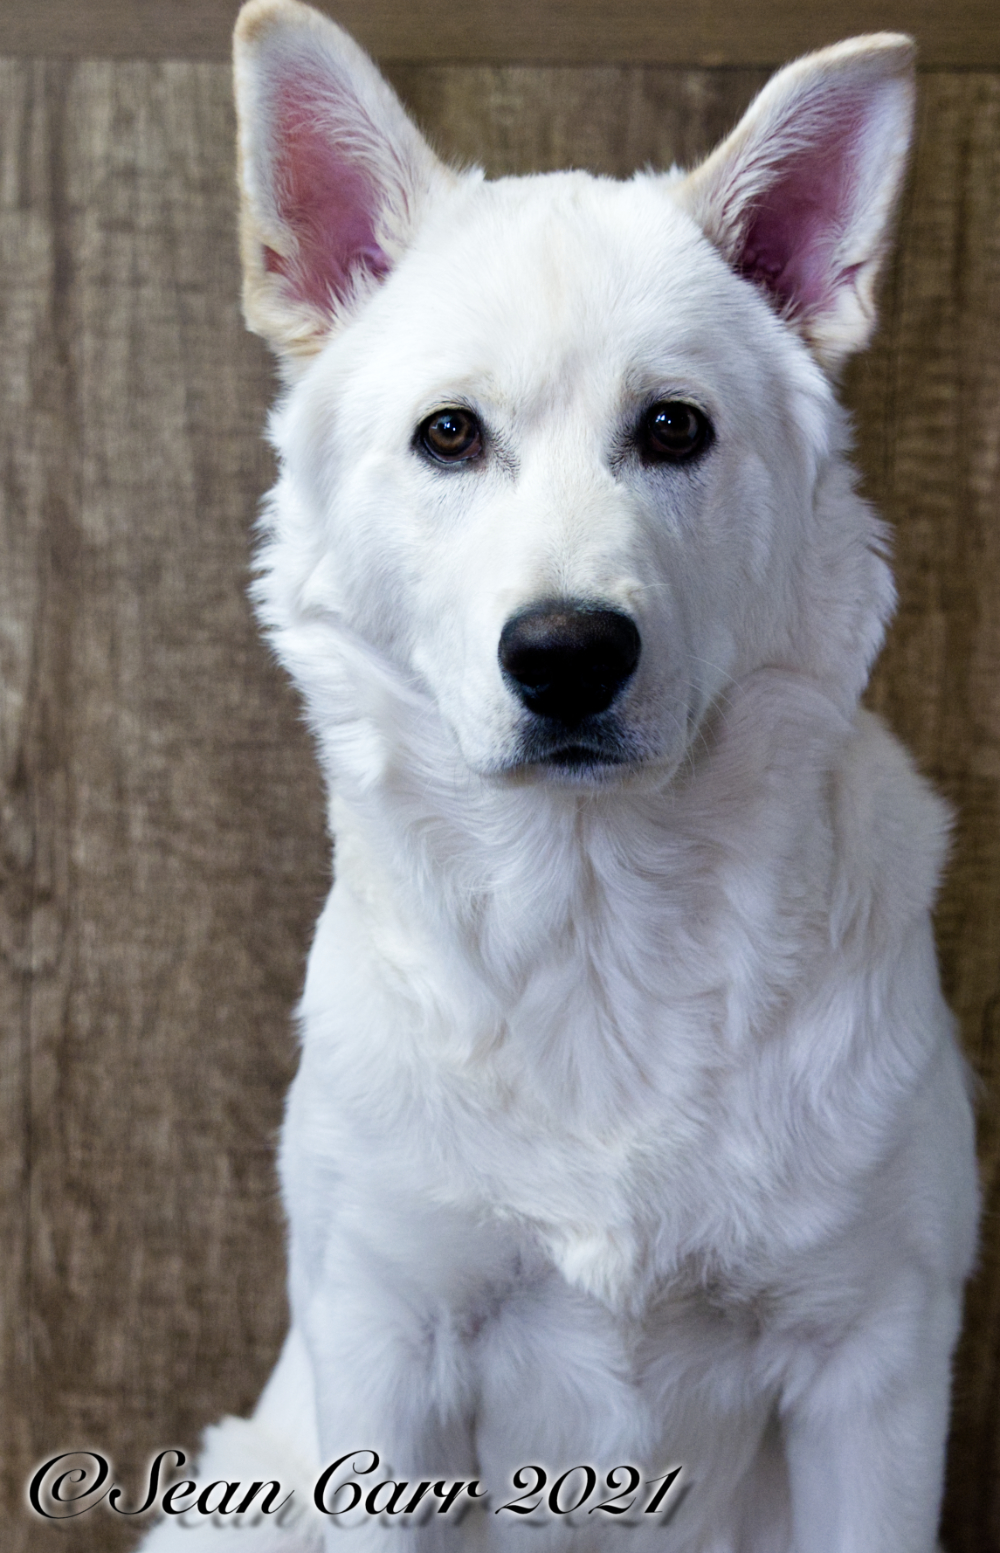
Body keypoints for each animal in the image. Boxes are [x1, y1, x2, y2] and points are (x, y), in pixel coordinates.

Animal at [139, 3, 979, 1549]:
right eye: (450, 434)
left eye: (674, 428)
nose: (569, 654)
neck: (594, 934)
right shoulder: (388, 1351)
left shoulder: (874, 1367)